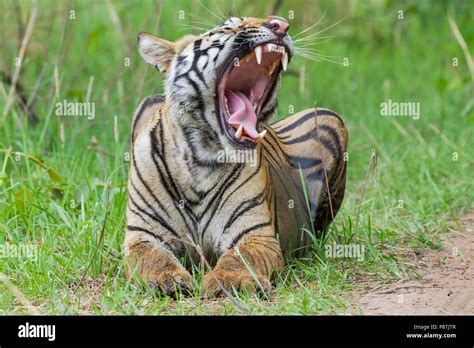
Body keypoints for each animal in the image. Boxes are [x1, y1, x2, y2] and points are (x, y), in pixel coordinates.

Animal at [124, 16, 348, 298]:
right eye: (230, 26)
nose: (281, 25)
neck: (202, 158)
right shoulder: (143, 235)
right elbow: (152, 258)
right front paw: (167, 279)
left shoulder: (255, 234)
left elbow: (240, 258)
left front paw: (231, 281)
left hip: (329, 118)